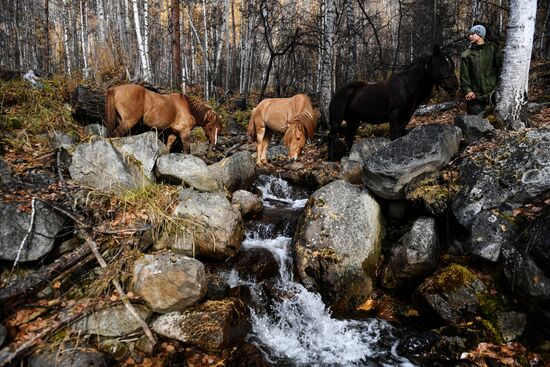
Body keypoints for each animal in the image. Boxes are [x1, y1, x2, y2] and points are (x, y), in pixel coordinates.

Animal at [328, 46, 462, 161]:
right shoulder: (393, 115)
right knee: (332, 136)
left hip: (354, 120)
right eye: (442, 64)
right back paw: (330, 160)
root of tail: (337, 93)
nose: (455, 86)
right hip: (337, 120)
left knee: (348, 137)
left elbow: (399, 136)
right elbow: (394, 135)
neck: (406, 87)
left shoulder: (406, 117)